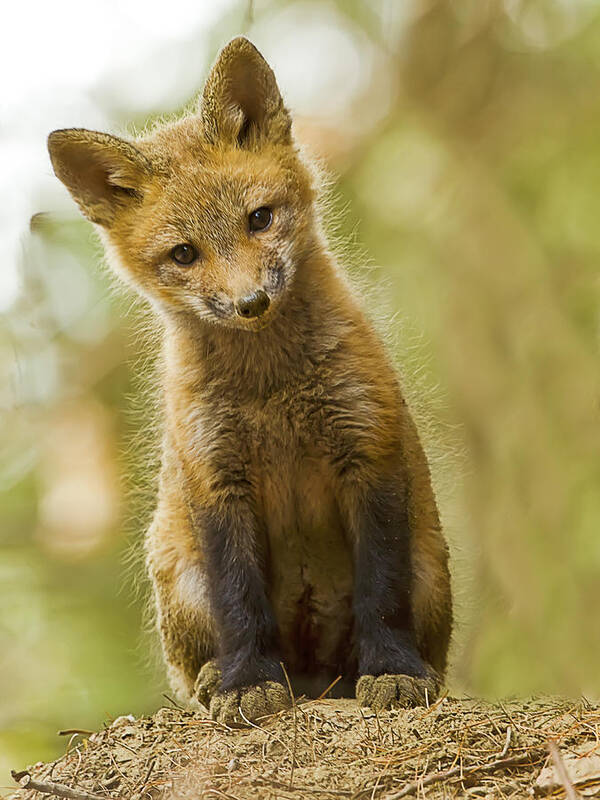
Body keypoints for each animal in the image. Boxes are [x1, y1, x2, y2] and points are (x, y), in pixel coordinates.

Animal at [48, 36, 450, 724]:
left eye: (260, 219)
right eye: (184, 254)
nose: (251, 303)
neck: (271, 389)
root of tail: (314, 671)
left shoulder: (369, 452)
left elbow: (381, 592)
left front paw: (392, 671)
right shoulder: (216, 477)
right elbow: (239, 602)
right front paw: (248, 683)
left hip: (429, 570)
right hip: (180, 575)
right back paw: (218, 679)